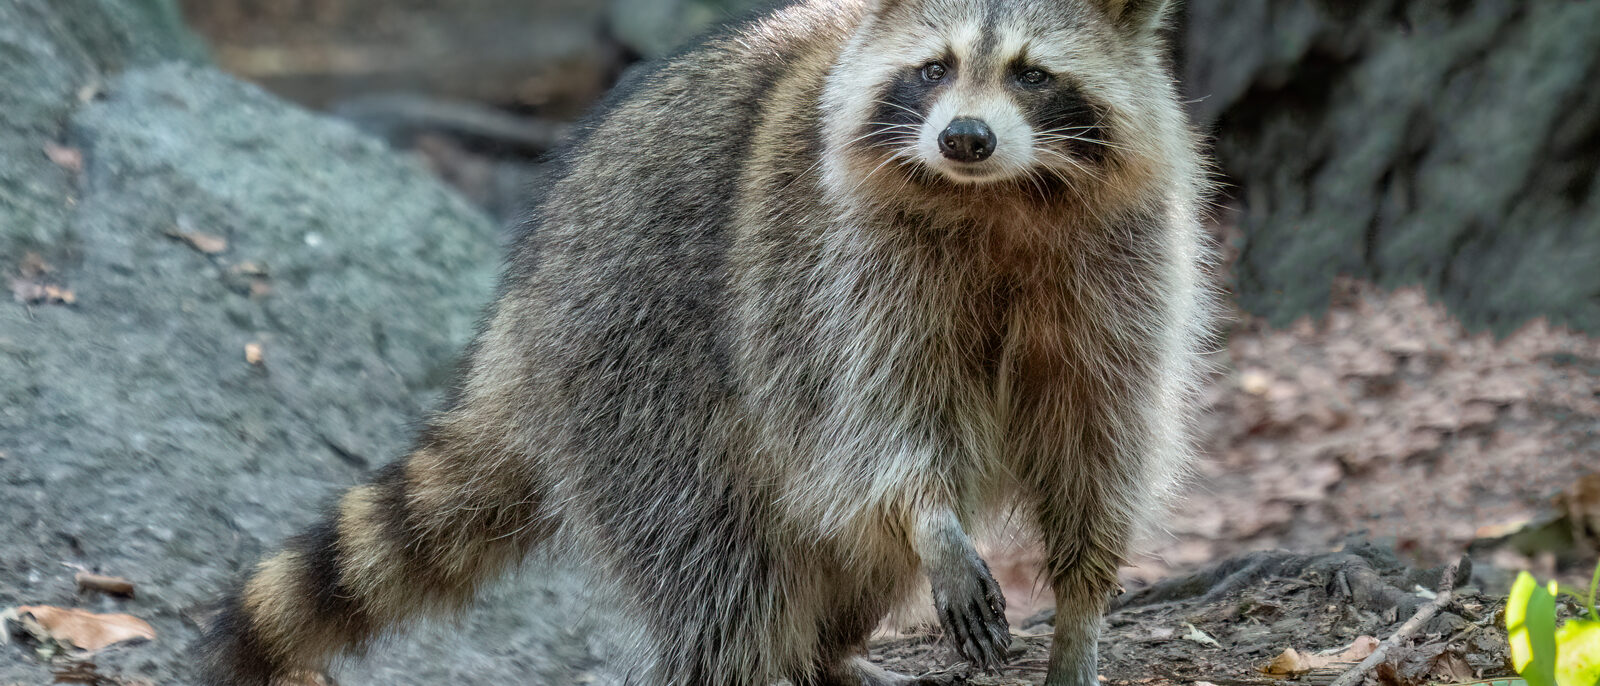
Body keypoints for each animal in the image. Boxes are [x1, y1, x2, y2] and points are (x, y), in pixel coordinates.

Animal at [195, 0, 1214, 684]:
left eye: (1031, 74)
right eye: (935, 67)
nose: (964, 137)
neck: (1001, 198)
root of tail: (520, 313)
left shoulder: (1124, 269)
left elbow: (1101, 435)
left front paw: (1082, 605)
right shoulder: (839, 271)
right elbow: (877, 420)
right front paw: (932, 516)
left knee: (843, 554)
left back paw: (831, 650)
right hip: (633, 367)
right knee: (720, 561)